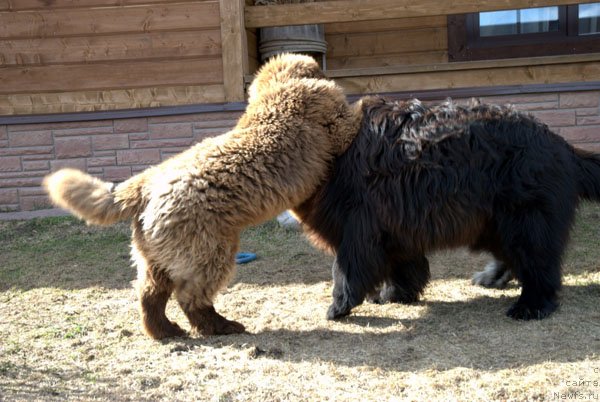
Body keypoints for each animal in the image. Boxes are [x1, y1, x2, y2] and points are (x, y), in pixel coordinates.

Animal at [44, 55, 360, 340]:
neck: (277, 92)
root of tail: (147, 184)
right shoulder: (334, 121)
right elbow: (353, 113)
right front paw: (368, 100)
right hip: (208, 250)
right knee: (190, 295)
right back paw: (220, 326)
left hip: (157, 255)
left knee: (150, 294)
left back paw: (166, 331)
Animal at [294, 96, 600, 322]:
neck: (337, 148)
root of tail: (561, 145)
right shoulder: (396, 227)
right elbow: (403, 267)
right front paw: (394, 294)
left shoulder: (361, 226)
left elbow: (347, 270)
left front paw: (338, 307)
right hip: (493, 222)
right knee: (516, 257)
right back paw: (493, 277)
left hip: (525, 217)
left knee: (539, 264)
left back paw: (531, 305)